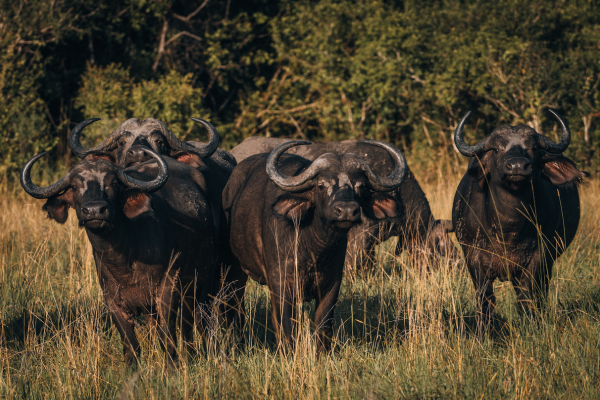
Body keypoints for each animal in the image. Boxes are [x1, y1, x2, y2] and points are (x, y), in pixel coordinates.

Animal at [21, 148, 219, 364]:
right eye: (74, 186)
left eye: (113, 183)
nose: (94, 210)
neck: (126, 262)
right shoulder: (113, 303)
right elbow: (131, 347)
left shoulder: (168, 289)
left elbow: (168, 338)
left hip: (197, 286)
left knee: (192, 322)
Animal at [221, 140, 408, 350]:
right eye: (321, 185)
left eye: (360, 186)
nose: (346, 210)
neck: (313, 249)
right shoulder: (280, 283)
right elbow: (287, 327)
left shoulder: (332, 284)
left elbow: (323, 326)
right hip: (234, 272)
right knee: (236, 307)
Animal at [454, 111, 584, 332]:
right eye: (496, 149)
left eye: (533, 148)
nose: (517, 166)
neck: (509, 229)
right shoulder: (473, 256)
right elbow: (485, 298)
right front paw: (482, 332)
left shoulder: (539, 256)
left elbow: (527, 296)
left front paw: (532, 327)